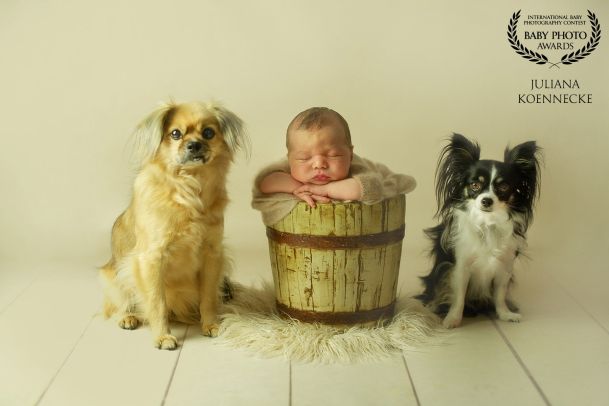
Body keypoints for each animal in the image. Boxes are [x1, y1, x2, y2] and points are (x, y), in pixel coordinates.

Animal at [100, 100, 247, 348]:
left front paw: (210, 324)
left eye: (208, 133)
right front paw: (162, 336)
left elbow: (208, 297)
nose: (194, 144)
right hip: (115, 274)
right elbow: (157, 302)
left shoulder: (212, 255)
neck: (188, 187)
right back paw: (128, 316)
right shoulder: (151, 259)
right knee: (121, 302)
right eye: (175, 134)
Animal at [418, 135, 540, 328]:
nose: (486, 200)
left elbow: (499, 295)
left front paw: (505, 314)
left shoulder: (504, 268)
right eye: (475, 185)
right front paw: (452, 319)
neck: (487, 223)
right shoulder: (461, 267)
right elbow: (459, 297)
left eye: (503, 187)